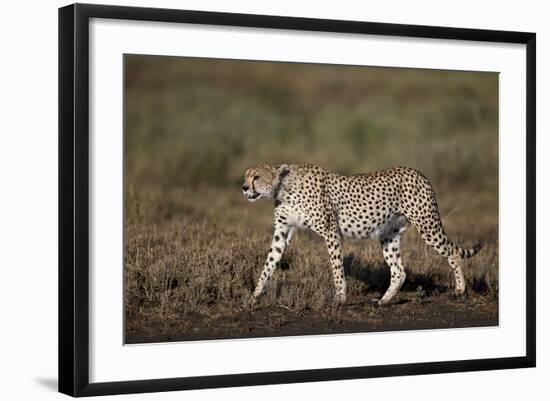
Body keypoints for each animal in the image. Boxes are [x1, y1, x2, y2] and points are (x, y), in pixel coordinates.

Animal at [243, 164, 484, 304]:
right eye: (246, 177)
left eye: (257, 177)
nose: (244, 188)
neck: (284, 188)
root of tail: (417, 172)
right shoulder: (282, 233)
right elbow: (269, 264)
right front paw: (255, 295)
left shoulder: (331, 232)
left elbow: (336, 268)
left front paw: (340, 298)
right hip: (389, 235)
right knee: (399, 271)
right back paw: (384, 301)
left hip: (427, 225)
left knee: (452, 252)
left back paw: (460, 289)